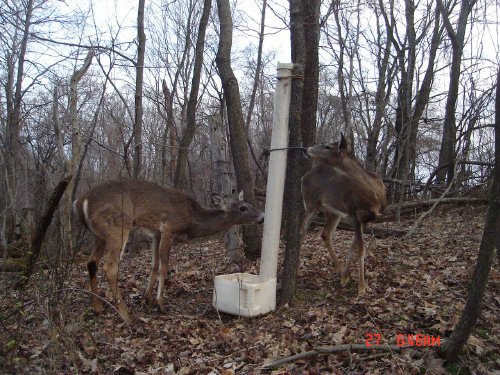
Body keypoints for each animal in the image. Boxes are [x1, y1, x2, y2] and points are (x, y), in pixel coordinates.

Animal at [73, 180, 266, 324]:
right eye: (242, 207)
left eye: (249, 203)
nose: (263, 216)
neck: (191, 219)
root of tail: (81, 201)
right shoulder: (168, 228)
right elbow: (164, 267)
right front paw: (161, 304)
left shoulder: (156, 233)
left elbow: (154, 265)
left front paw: (147, 298)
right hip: (118, 226)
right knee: (110, 266)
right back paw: (125, 315)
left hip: (99, 235)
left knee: (91, 262)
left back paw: (98, 308)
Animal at [300, 134, 386, 296]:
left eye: (328, 146)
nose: (305, 149)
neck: (372, 194)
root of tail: (302, 178)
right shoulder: (354, 214)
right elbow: (361, 248)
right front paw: (361, 287)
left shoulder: (368, 218)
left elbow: (354, 245)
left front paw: (346, 276)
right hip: (311, 204)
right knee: (302, 232)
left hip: (333, 212)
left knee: (325, 234)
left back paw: (339, 270)